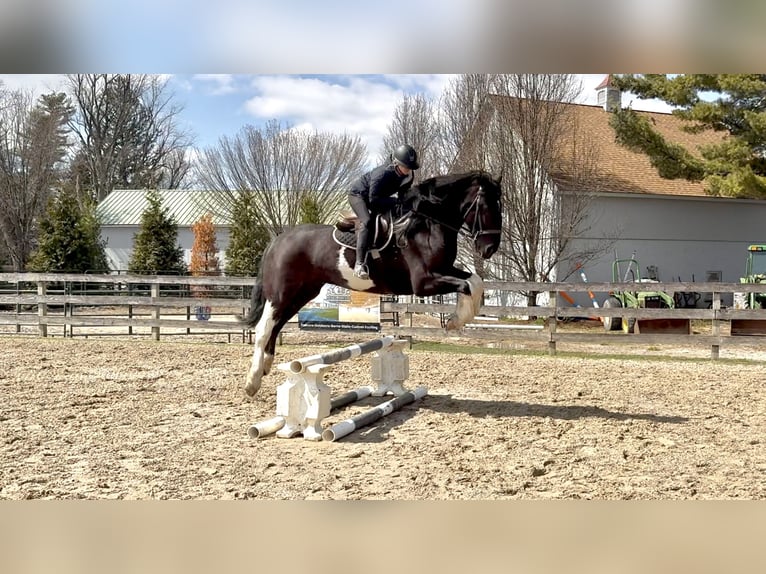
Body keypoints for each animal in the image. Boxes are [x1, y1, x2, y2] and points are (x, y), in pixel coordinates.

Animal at [241, 170, 503, 397]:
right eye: (486, 205)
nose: (490, 249)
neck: (426, 224)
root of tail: (279, 239)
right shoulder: (424, 283)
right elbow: (468, 285)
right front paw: (455, 321)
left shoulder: (444, 271)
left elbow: (475, 281)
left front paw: (458, 319)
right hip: (282, 293)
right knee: (265, 327)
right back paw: (252, 381)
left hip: (301, 293)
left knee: (276, 325)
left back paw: (266, 367)